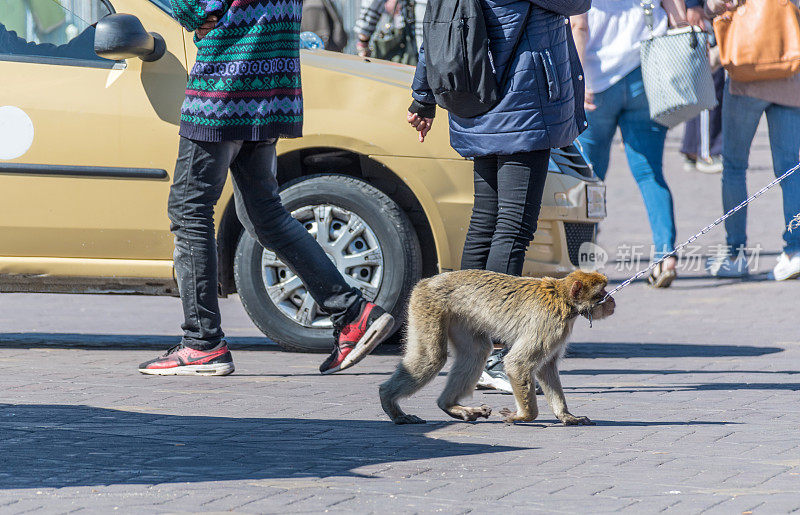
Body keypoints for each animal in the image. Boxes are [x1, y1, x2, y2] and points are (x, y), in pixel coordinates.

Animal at [378, 268, 616, 426]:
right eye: (600, 293)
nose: (612, 301)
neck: (562, 298)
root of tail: (427, 281)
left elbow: (546, 367)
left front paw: (565, 415)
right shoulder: (549, 326)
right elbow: (518, 364)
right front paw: (523, 416)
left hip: (457, 317)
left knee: (476, 353)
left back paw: (450, 406)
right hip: (428, 305)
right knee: (431, 357)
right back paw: (390, 402)